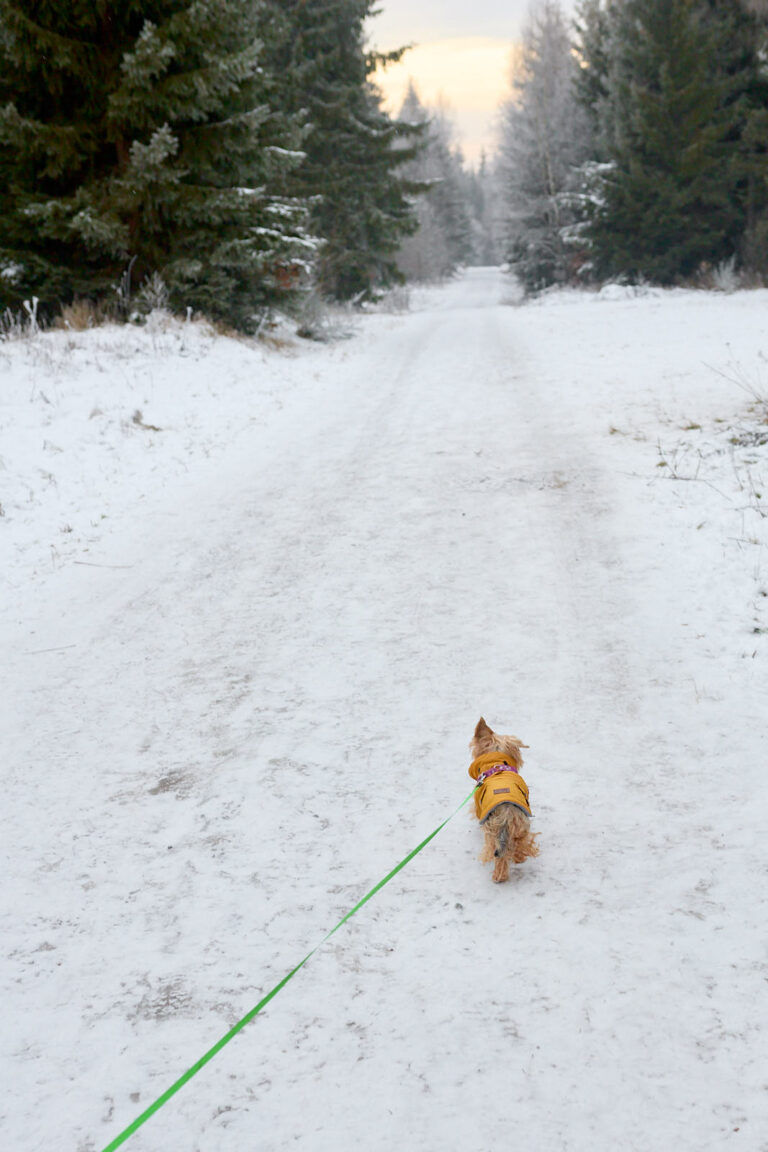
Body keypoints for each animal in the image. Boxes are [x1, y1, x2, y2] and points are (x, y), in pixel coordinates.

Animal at [469, 718, 541, 880]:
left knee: (498, 853)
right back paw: (519, 858)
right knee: (519, 845)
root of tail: (506, 812)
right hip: (521, 824)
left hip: (493, 831)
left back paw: (498, 877)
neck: (496, 764)